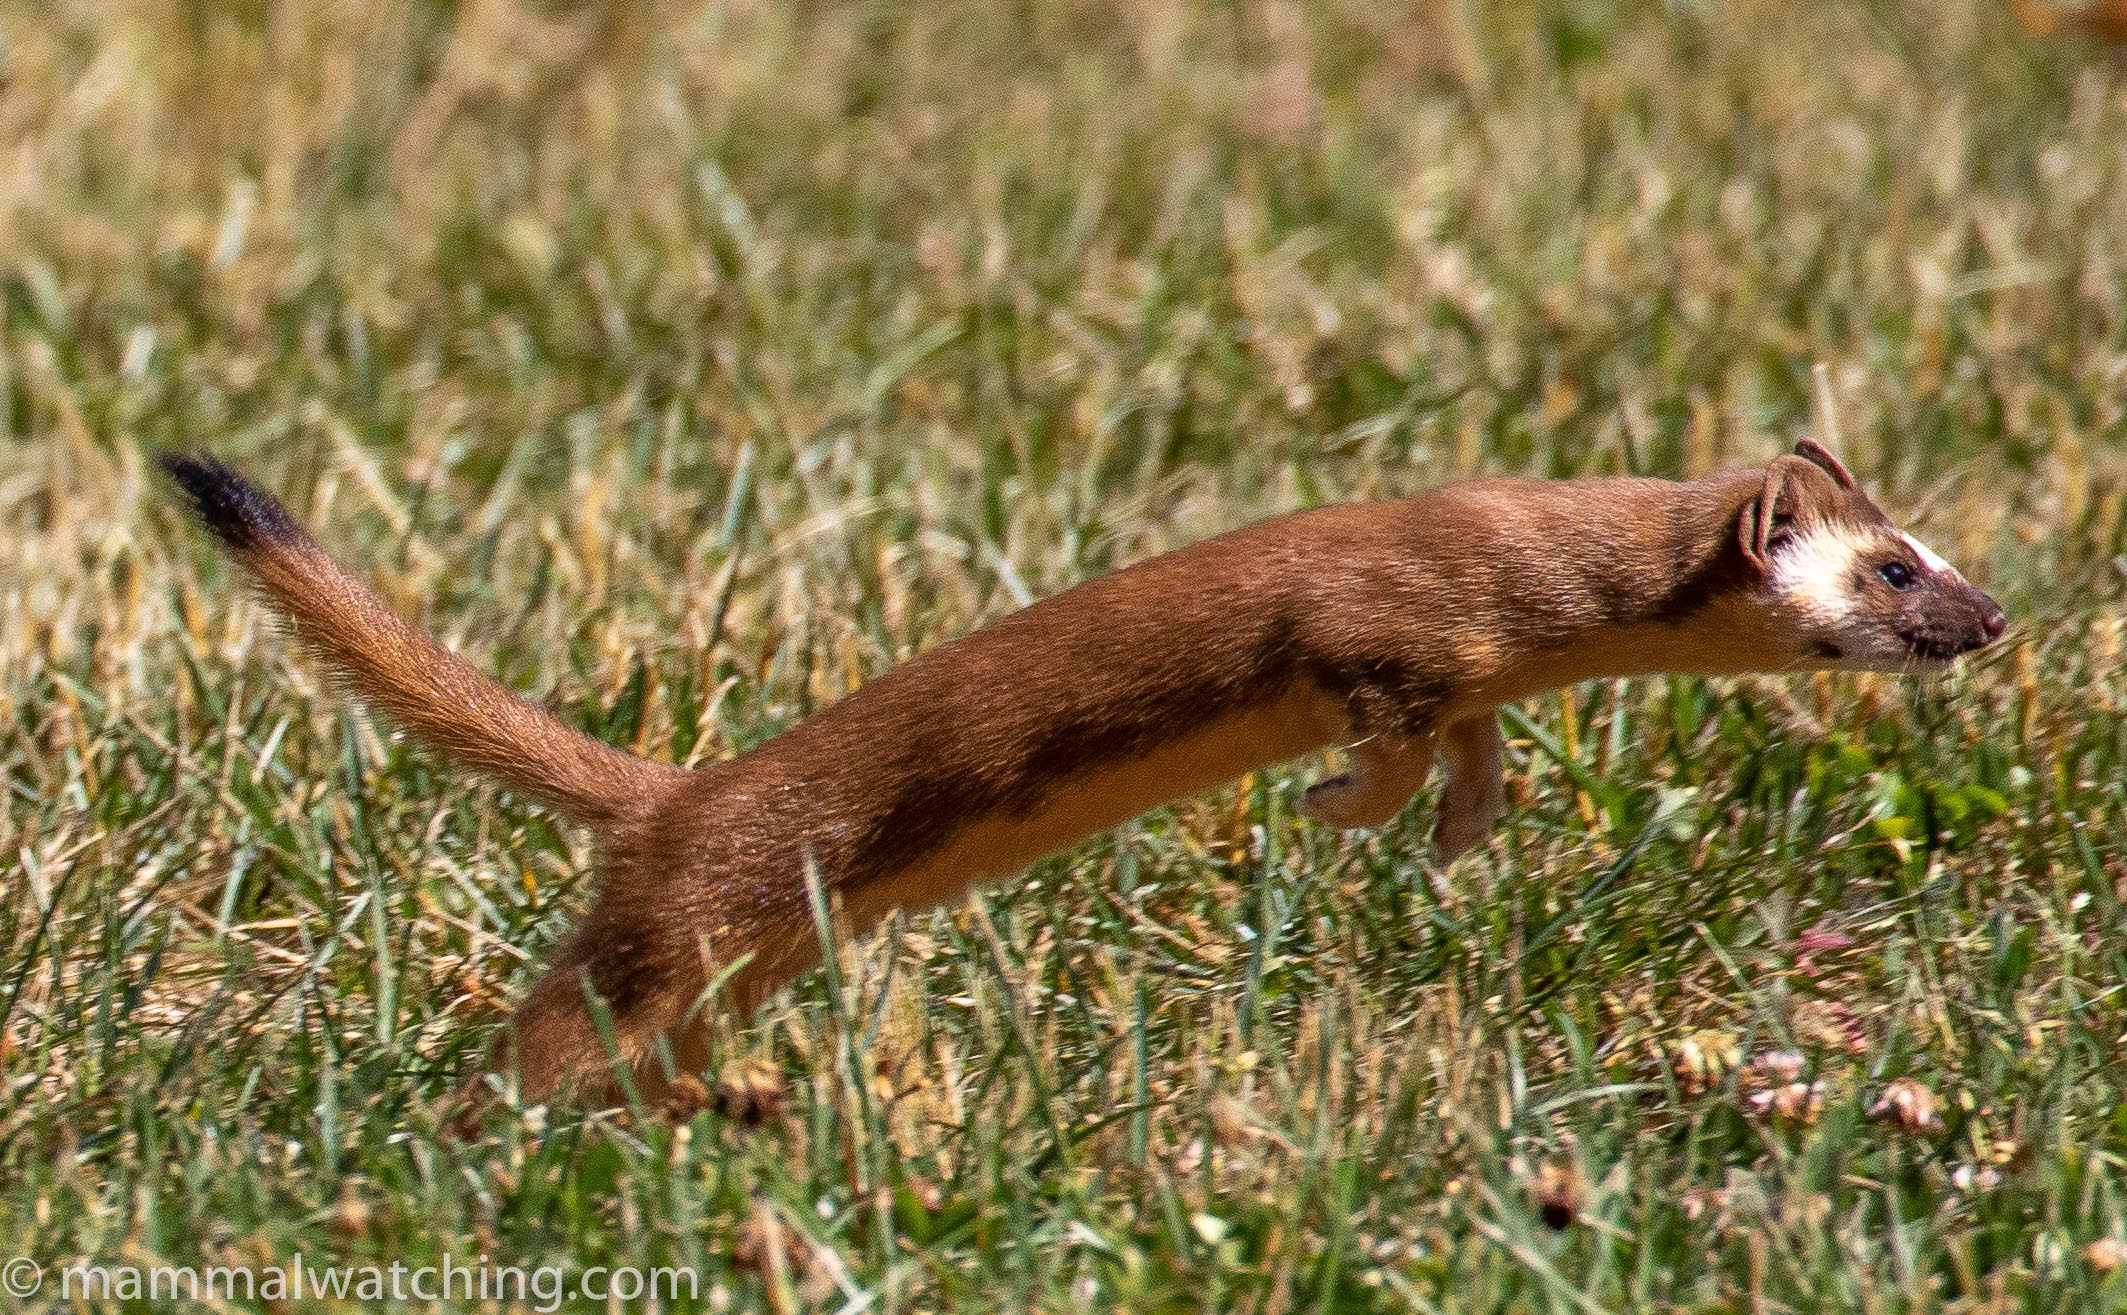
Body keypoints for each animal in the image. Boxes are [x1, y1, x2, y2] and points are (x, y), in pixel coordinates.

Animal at [161, 440, 1990, 1114]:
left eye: (1931, 544)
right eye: (1891, 567)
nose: (1989, 617)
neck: (1519, 564)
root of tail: (667, 791)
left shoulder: (1467, 667)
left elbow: (1470, 748)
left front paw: (1458, 825)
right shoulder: (1378, 624)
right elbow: (1382, 720)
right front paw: (1339, 807)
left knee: (655, 1052)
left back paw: (727, 1106)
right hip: (688, 916)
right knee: (561, 1027)